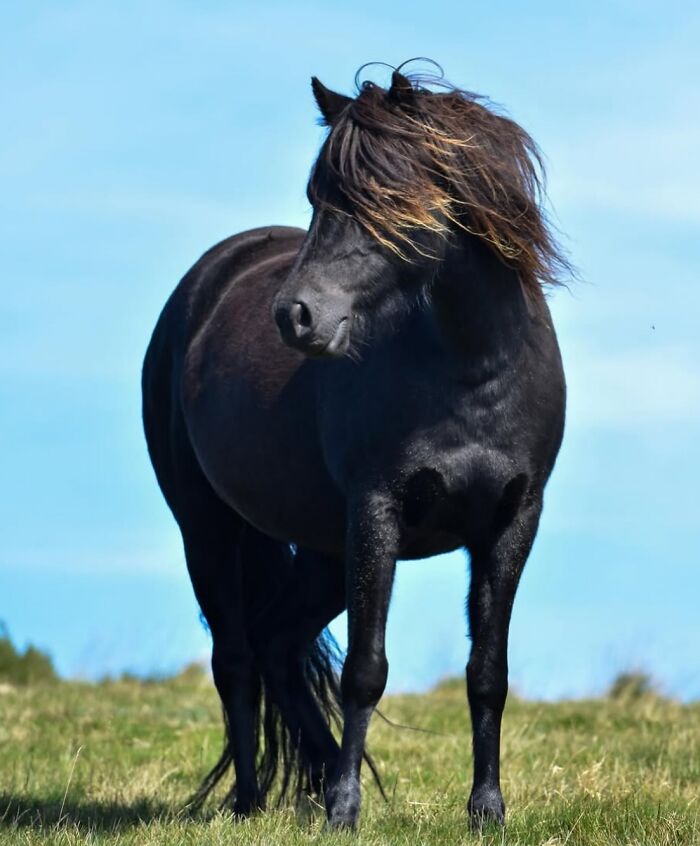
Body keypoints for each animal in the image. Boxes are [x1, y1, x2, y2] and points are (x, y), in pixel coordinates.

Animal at [141, 66, 568, 830]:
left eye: (386, 197)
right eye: (317, 197)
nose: (296, 316)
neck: (474, 369)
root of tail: (210, 278)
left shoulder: (513, 522)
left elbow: (488, 675)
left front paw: (486, 810)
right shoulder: (376, 513)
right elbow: (365, 670)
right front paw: (344, 808)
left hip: (318, 552)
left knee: (278, 646)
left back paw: (305, 782)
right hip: (206, 528)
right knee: (236, 659)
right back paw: (250, 801)